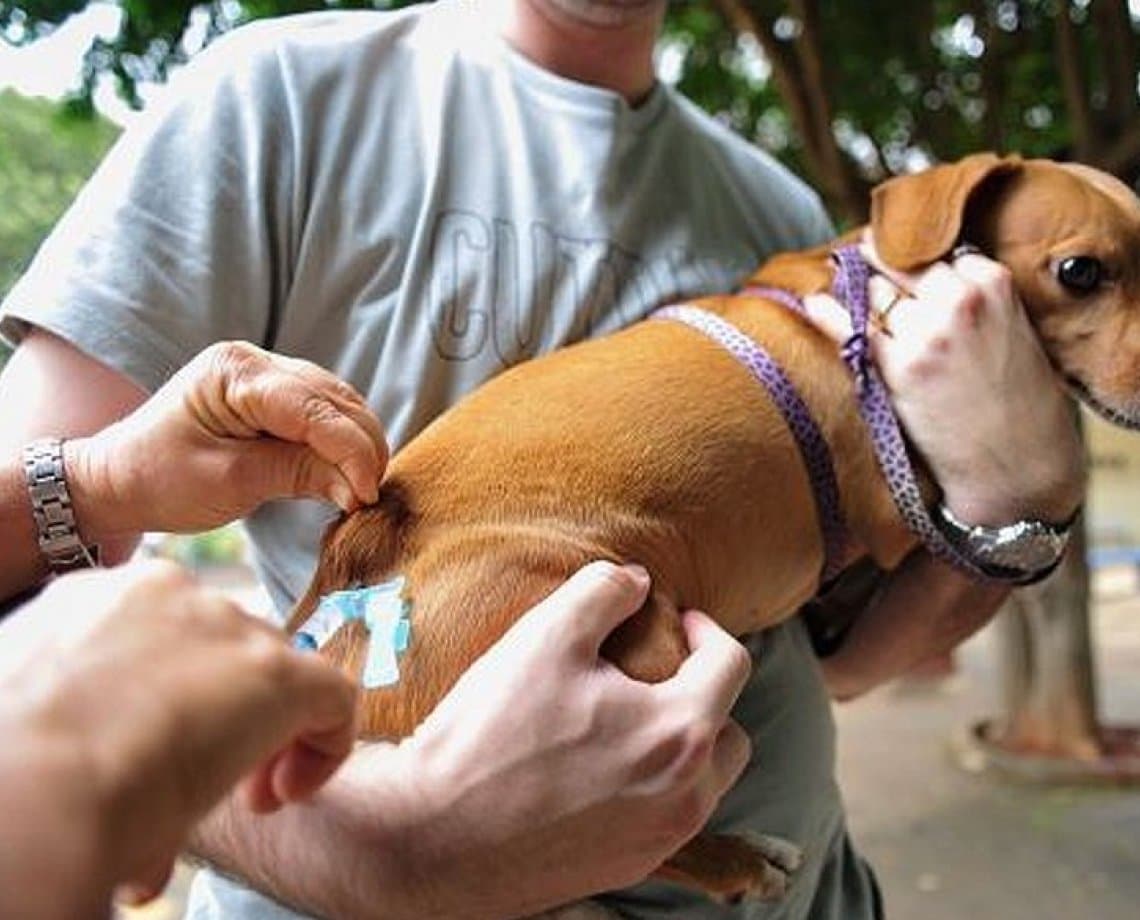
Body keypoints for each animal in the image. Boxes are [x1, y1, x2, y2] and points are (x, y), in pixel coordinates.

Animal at [289, 155, 1140, 902]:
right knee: (620, 844)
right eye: (1080, 272)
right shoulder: (900, 514)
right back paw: (739, 861)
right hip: (640, 641)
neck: (867, 296)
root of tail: (360, 555)